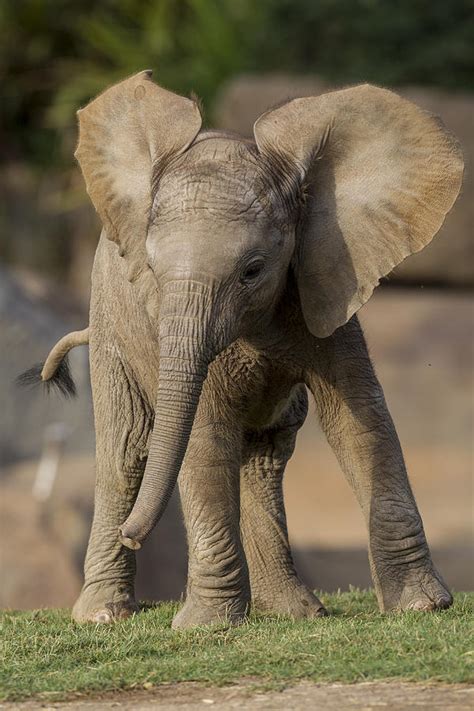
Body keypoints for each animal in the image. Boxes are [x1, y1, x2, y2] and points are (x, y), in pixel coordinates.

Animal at [23, 73, 462, 628]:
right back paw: (103, 615)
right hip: (109, 325)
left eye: (253, 270)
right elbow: (205, 435)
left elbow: (361, 421)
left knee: (264, 456)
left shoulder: (324, 284)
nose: (135, 534)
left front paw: (422, 606)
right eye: (151, 269)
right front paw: (208, 627)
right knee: (124, 455)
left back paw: (296, 613)